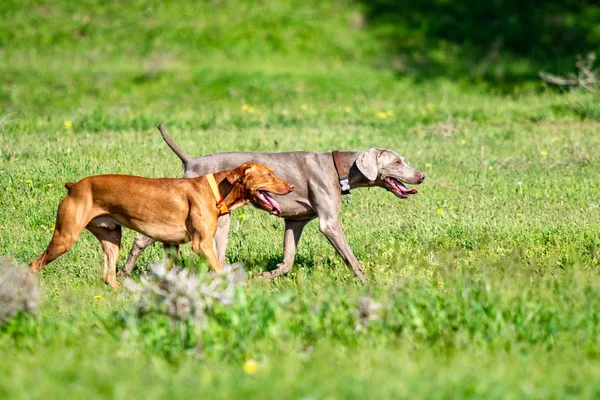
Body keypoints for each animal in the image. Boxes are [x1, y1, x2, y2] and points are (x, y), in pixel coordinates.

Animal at [29, 161, 292, 290]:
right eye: (268, 174)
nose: (291, 187)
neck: (218, 189)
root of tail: (74, 186)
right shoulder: (201, 245)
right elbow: (219, 269)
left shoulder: (171, 246)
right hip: (65, 238)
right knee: (34, 264)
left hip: (112, 239)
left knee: (108, 275)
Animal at [119, 125, 424, 282]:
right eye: (398, 162)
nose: (421, 176)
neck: (339, 169)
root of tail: (191, 161)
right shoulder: (328, 223)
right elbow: (350, 257)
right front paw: (366, 282)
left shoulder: (295, 221)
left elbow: (288, 259)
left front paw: (269, 274)